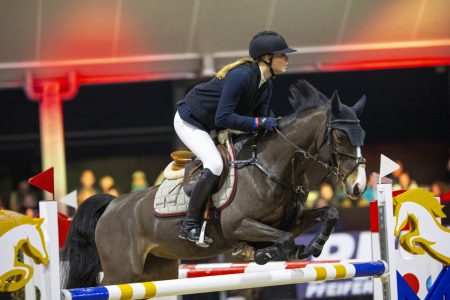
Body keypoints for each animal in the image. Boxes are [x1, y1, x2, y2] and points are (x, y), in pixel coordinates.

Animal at [65, 79, 370, 288]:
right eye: (340, 137)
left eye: (362, 135)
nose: (357, 186)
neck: (271, 166)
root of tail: (112, 205)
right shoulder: (238, 225)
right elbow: (284, 239)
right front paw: (265, 253)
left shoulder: (290, 220)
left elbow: (329, 213)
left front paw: (313, 246)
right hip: (121, 272)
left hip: (158, 269)